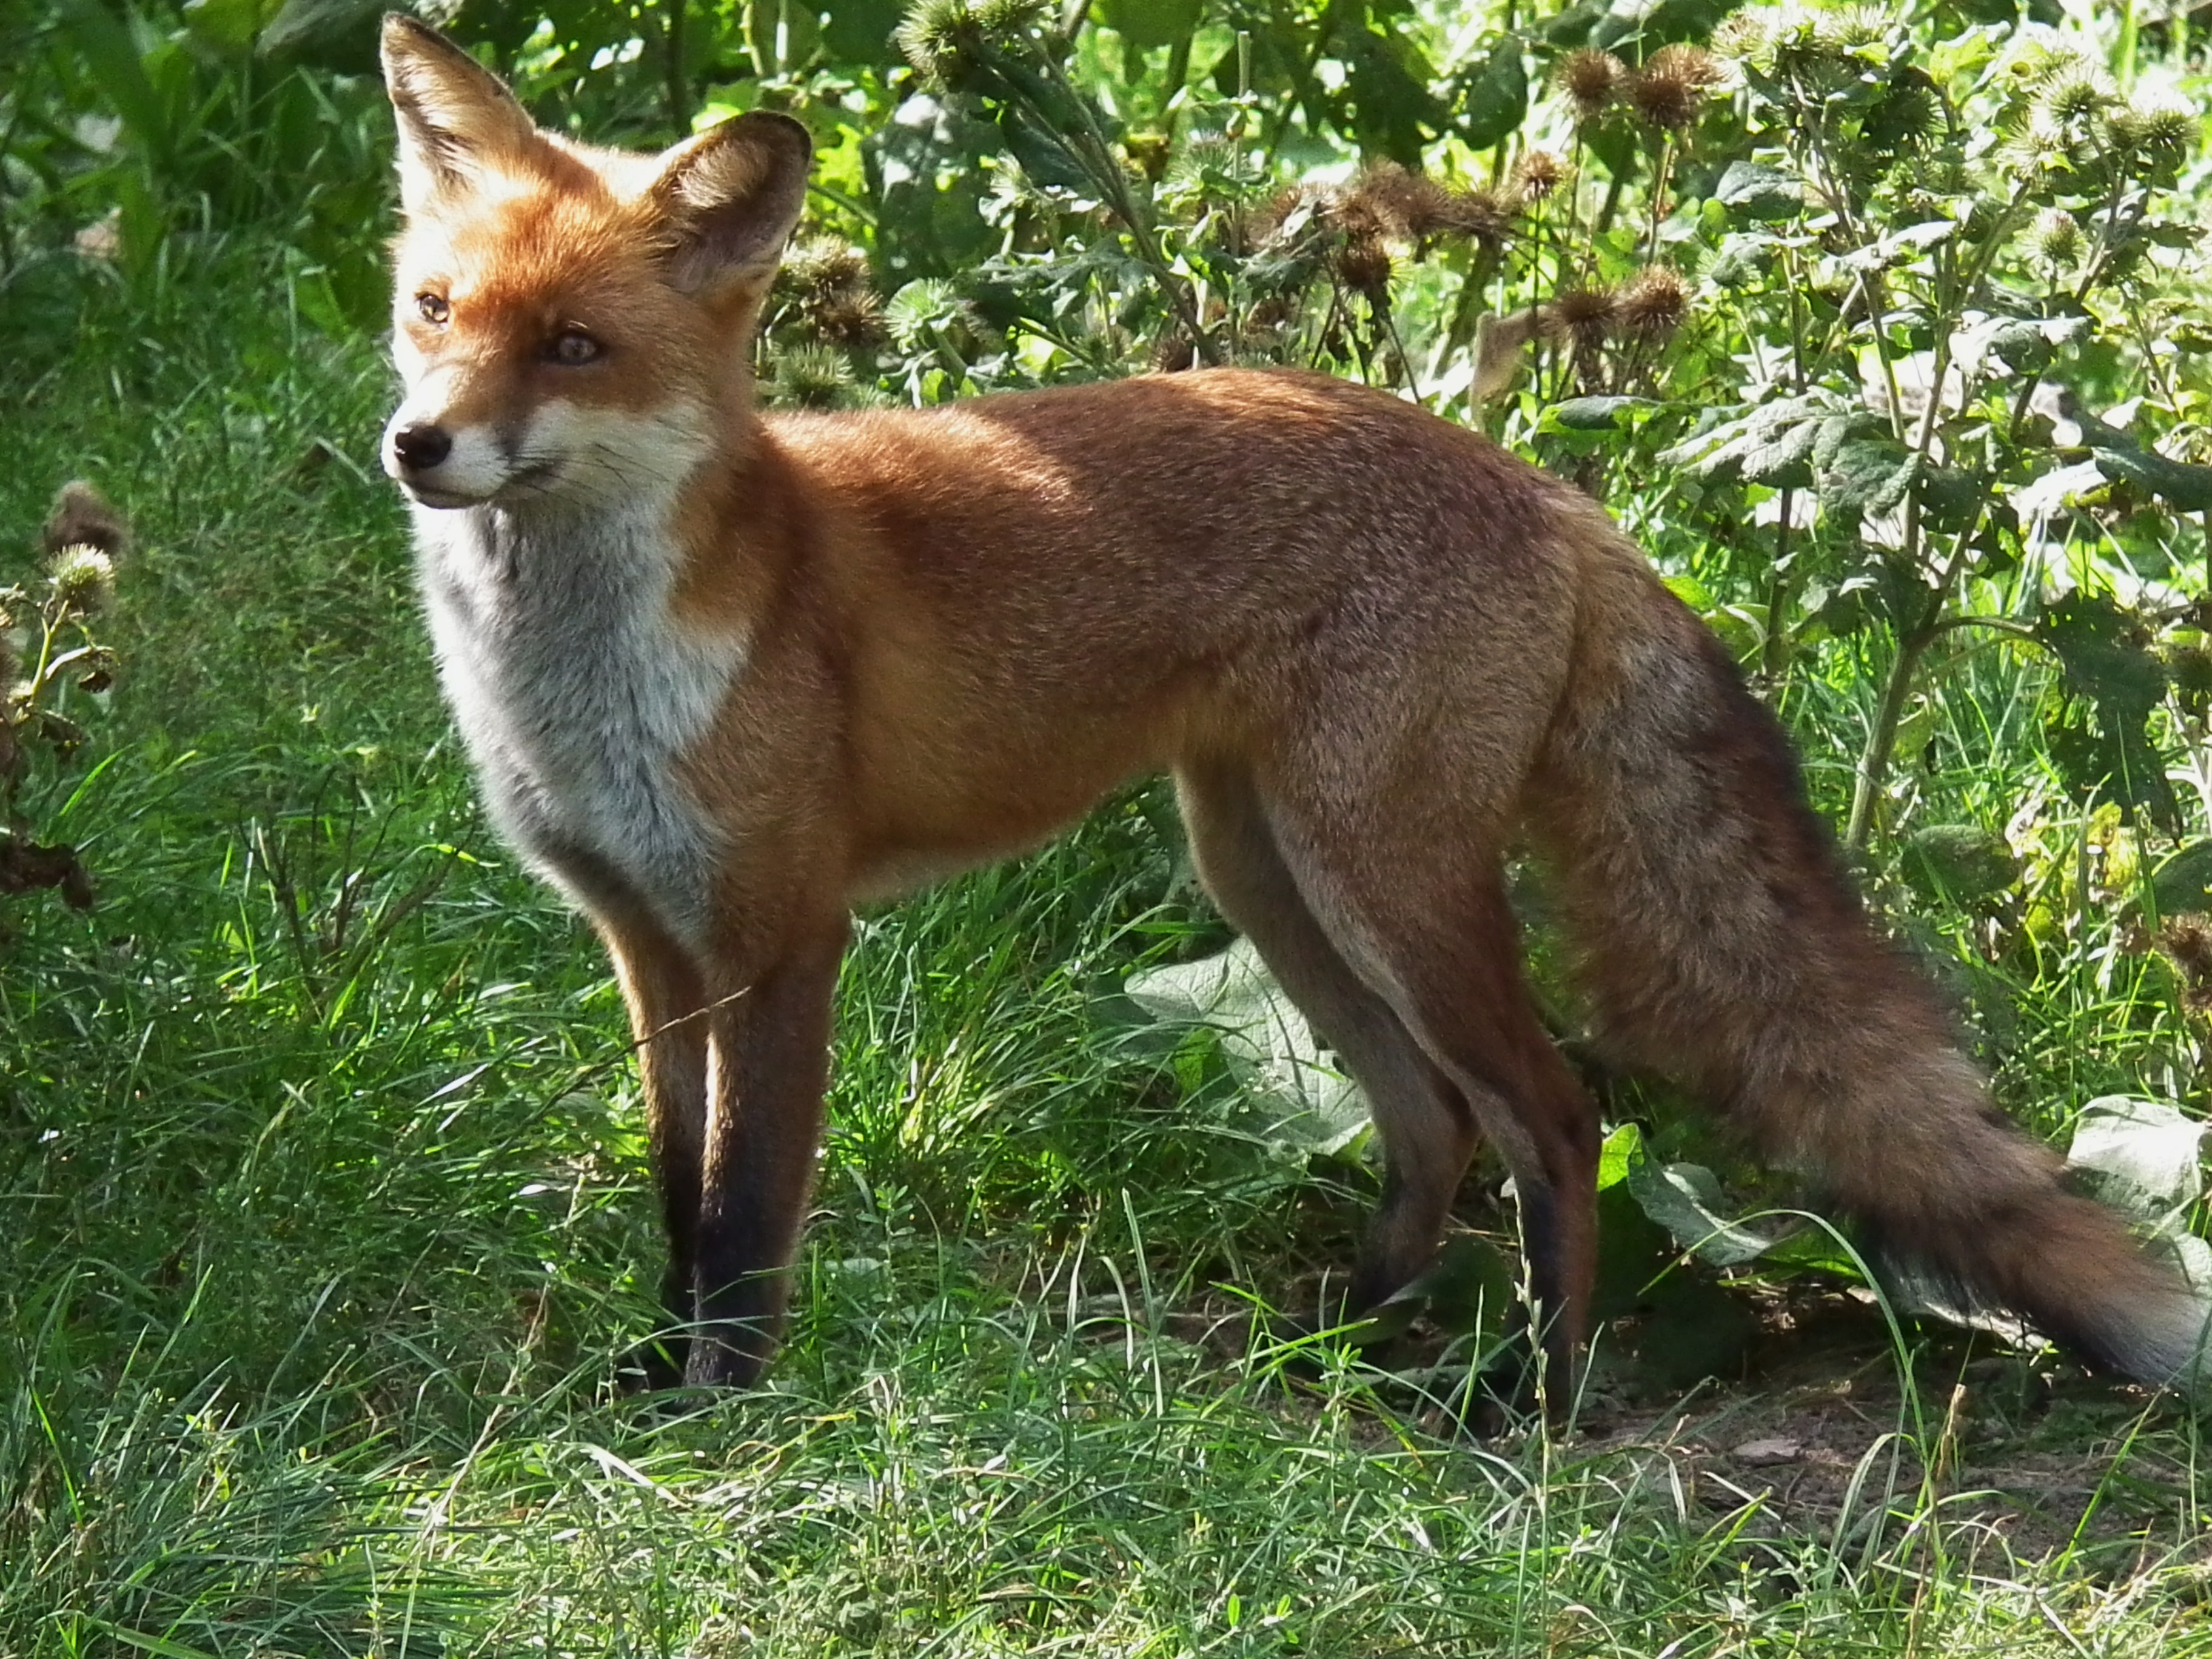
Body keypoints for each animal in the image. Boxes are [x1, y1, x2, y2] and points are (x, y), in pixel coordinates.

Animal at [380, 16, 2212, 1407]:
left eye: (574, 346)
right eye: (433, 311)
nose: (417, 445)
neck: (578, 678)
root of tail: (1550, 489)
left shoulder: (781, 938)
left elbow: (747, 1214)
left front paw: (729, 1415)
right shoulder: (648, 945)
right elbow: (673, 1198)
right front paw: (649, 1376)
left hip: (1380, 879)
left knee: (1555, 1116)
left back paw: (1535, 1406)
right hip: (1264, 875)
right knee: (1431, 1123)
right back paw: (1346, 1347)